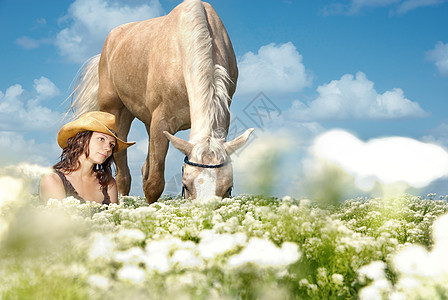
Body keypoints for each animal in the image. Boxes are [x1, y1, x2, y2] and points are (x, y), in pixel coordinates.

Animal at [69, 0, 252, 204]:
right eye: (186, 185)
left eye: (228, 188)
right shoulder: (161, 122)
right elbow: (154, 183)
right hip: (116, 112)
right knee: (123, 171)